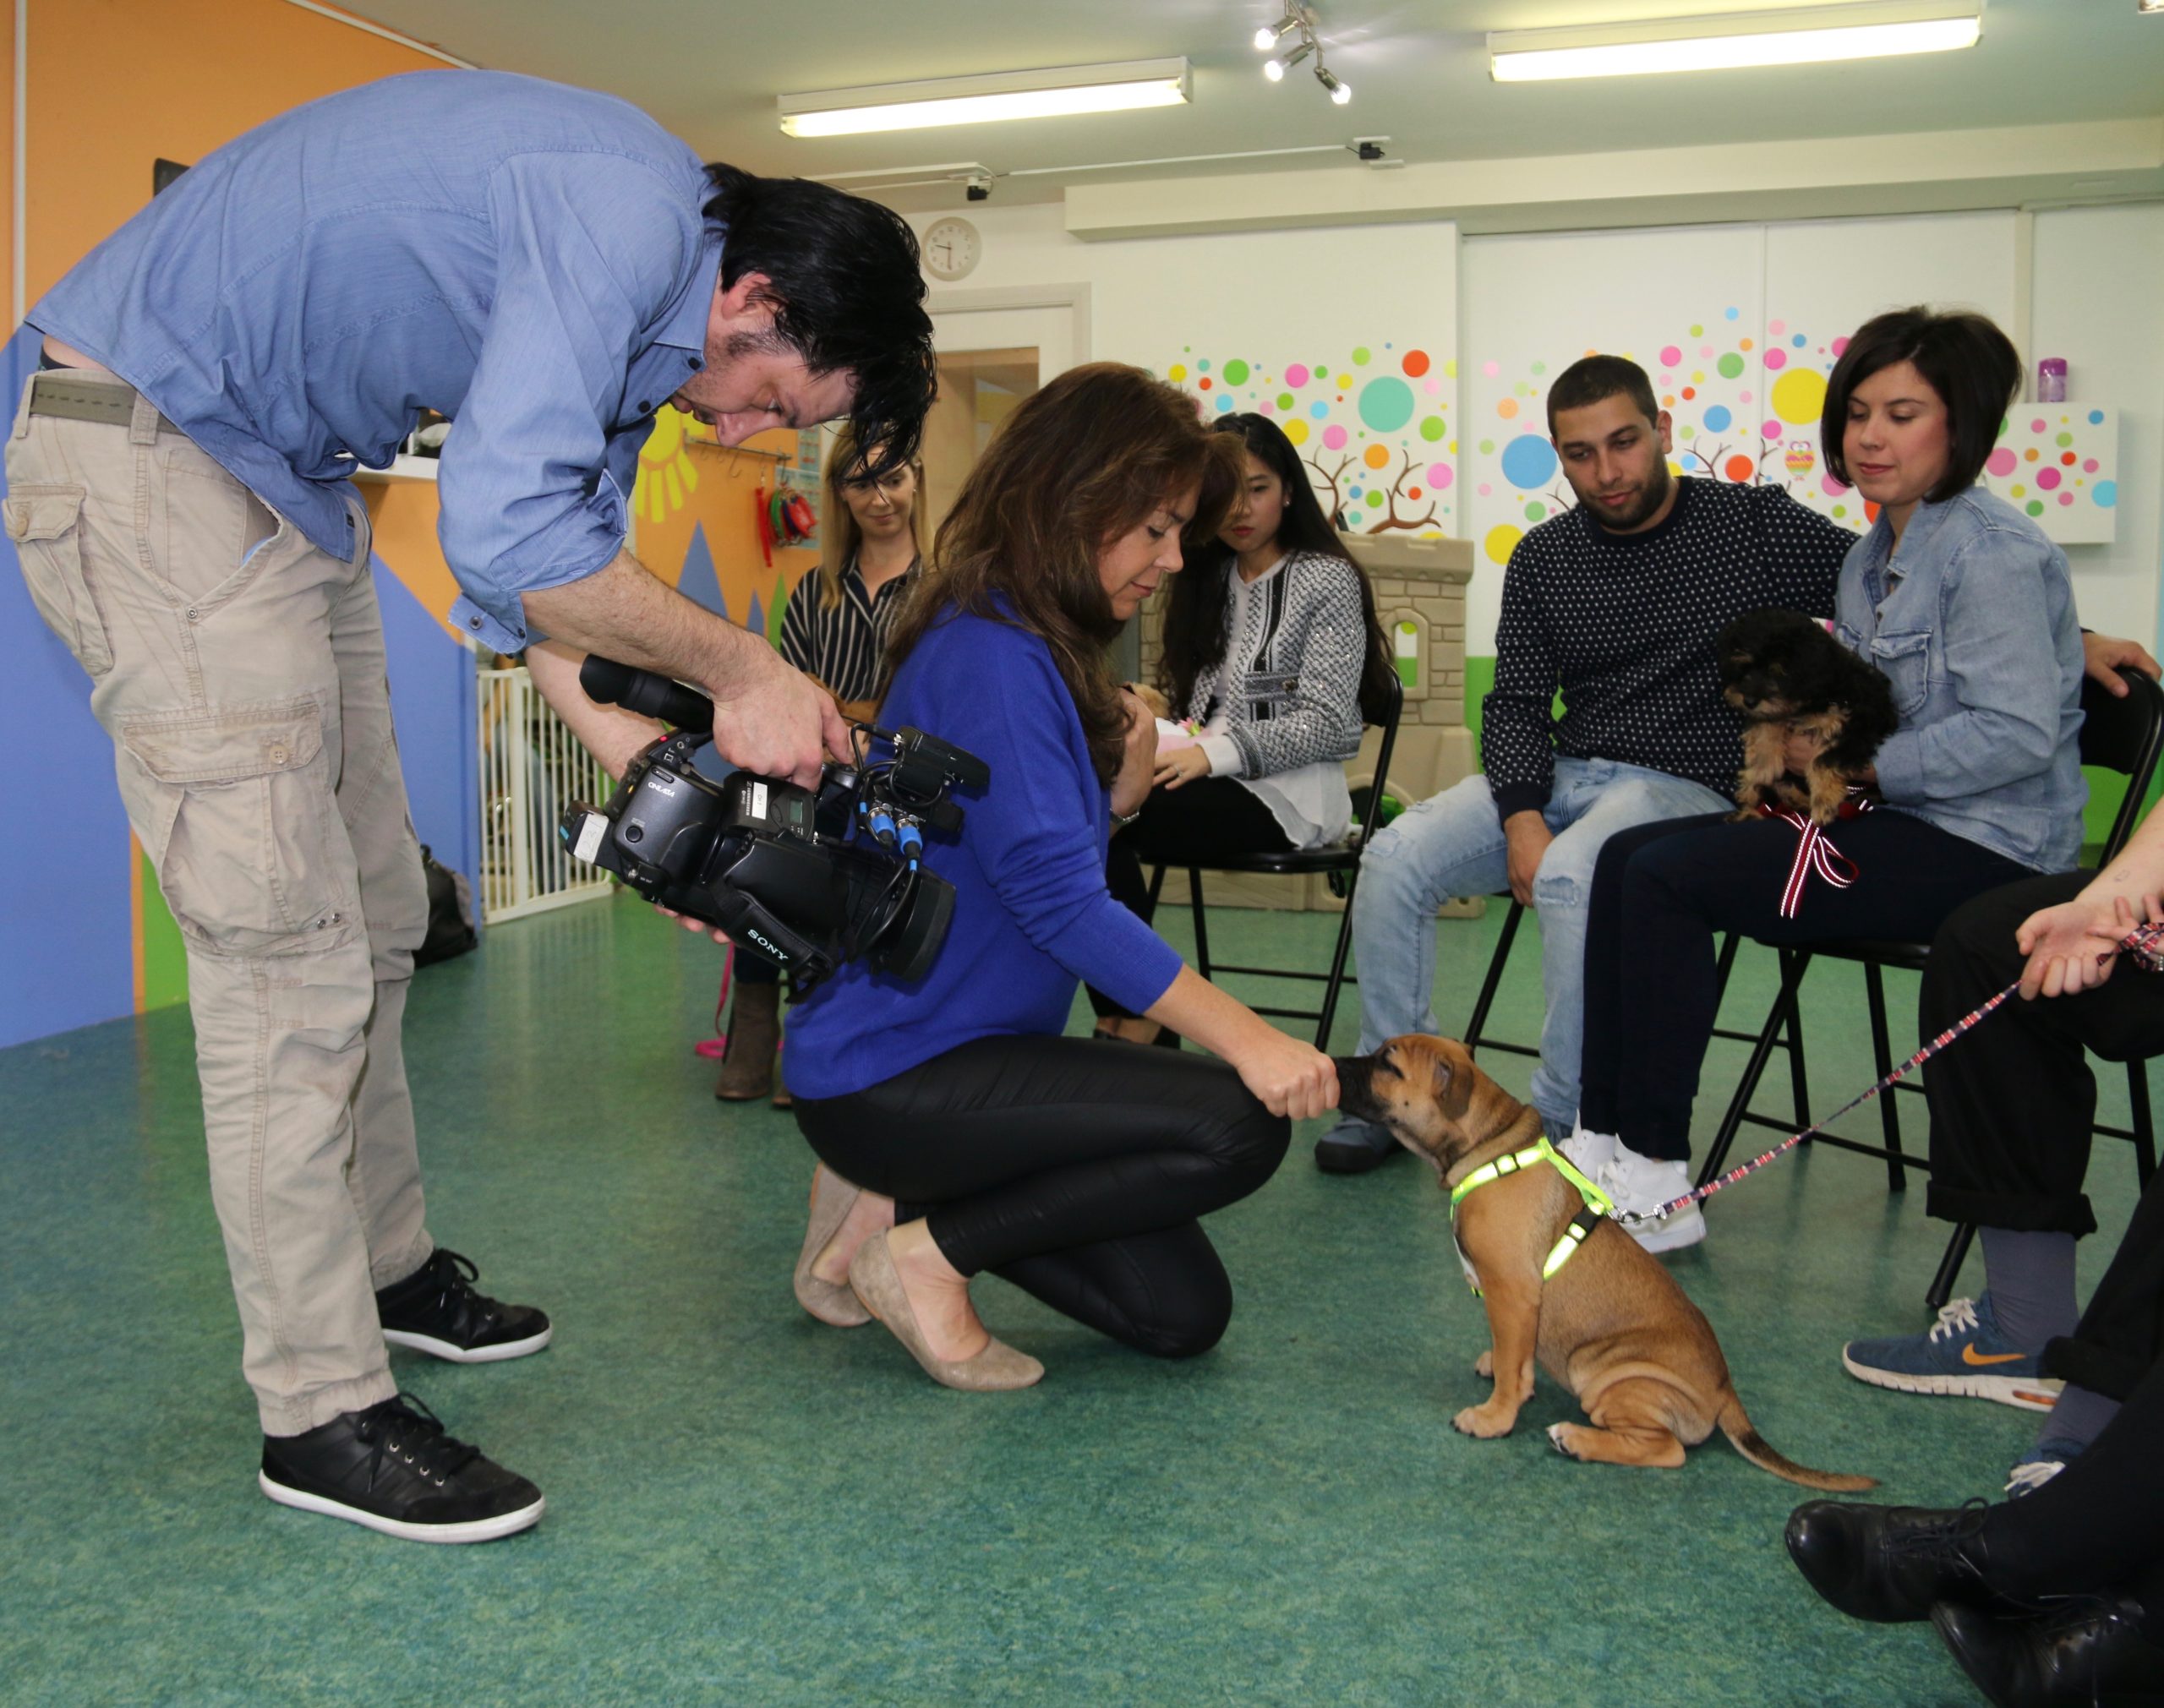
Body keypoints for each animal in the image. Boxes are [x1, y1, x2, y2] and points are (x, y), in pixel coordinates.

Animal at [1324, 1034, 1869, 1489]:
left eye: (1388, 1064)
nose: (1332, 1064)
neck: (1489, 1151)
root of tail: (1725, 1391)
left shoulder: (1513, 1292)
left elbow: (1513, 1370)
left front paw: (1493, 1418)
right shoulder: (1511, 1307)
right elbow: (1510, 1354)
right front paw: (1496, 1368)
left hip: (1604, 1373)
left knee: (1667, 1450)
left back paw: (1576, 1439)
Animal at [1722, 606, 1895, 827]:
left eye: (1777, 673)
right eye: (1745, 667)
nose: (1749, 701)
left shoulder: (1861, 725)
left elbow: (1822, 759)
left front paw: (1824, 800)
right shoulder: (1776, 713)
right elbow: (1767, 730)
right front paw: (1758, 774)